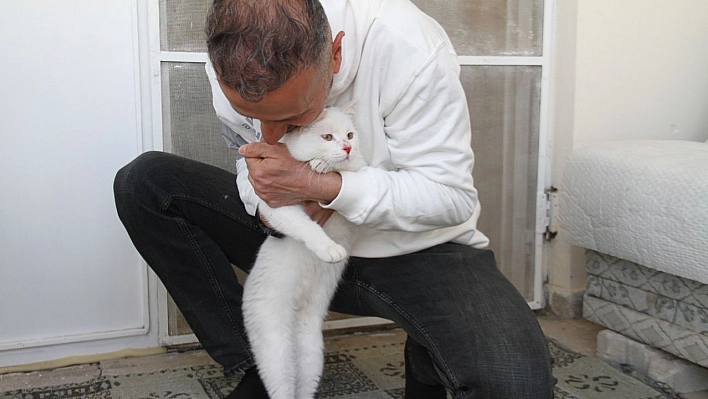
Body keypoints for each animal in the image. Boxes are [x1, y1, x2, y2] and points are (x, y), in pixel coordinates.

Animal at [243, 105, 366, 399]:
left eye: (350, 135)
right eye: (327, 137)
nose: (347, 147)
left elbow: (353, 169)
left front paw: (324, 164)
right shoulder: (276, 209)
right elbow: (306, 226)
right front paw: (329, 249)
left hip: (311, 350)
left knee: (304, 381)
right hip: (275, 348)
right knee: (282, 384)